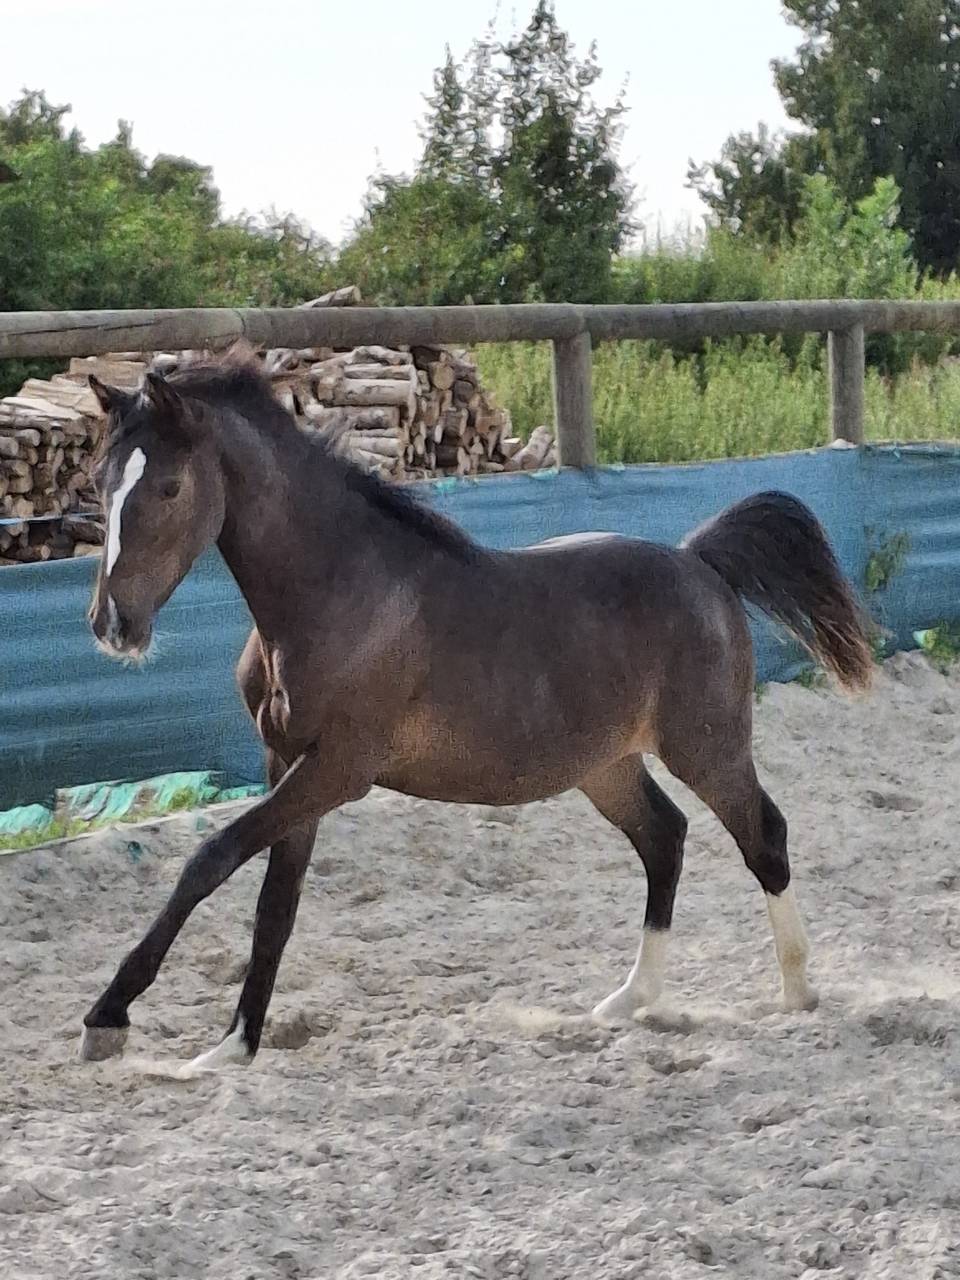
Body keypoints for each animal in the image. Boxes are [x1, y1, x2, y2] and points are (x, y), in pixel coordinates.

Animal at [79, 346, 873, 1073]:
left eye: (171, 488)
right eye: (100, 483)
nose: (113, 625)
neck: (340, 594)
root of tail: (700, 562)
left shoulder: (338, 770)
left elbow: (210, 859)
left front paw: (109, 1016)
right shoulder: (287, 764)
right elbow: (276, 904)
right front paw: (234, 1046)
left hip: (706, 747)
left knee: (762, 836)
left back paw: (797, 992)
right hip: (606, 766)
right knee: (664, 838)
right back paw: (629, 1000)